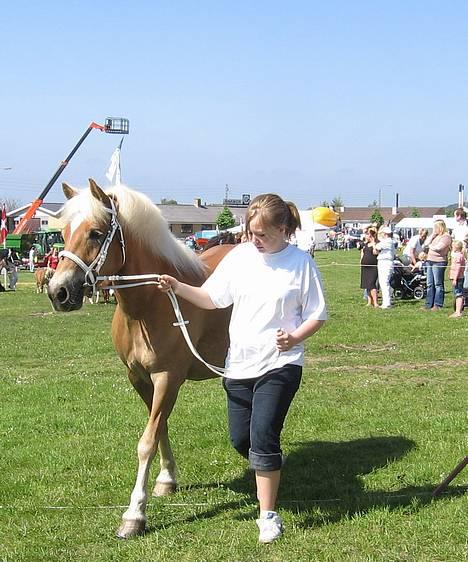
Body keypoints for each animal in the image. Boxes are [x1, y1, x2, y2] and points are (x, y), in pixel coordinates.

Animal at [48, 179, 232, 540]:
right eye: (63, 232)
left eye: (95, 233)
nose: (58, 292)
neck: (152, 303)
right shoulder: (139, 378)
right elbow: (160, 428)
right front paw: (167, 479)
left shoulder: (167, 378)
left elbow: (146, 441)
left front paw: (134, 514)